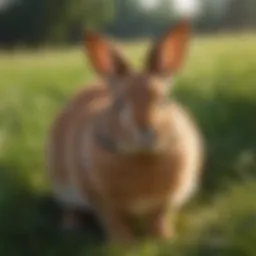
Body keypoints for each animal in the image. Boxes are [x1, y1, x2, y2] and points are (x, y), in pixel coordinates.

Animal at [46, 21, 204, 243]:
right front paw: (124, 243)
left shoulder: (166, 200)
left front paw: (164, 238)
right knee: (70, 209)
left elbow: (160, 216)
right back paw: (70, 227)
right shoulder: (101, 200)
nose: (146, 131)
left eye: (163, 100)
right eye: (119, 103)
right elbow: (113, 220)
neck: (141, 156)